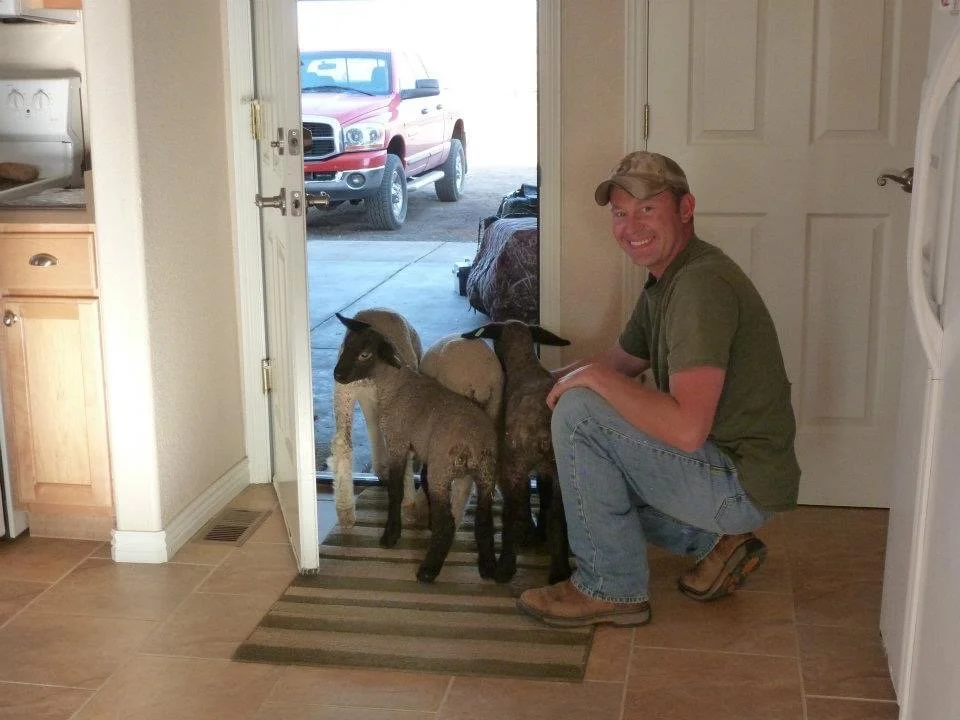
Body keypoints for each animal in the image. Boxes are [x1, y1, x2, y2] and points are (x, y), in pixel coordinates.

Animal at [327, 308, 422, 529]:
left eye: (364, 354)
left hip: (346, 394)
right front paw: (409, 504)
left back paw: (345, 510)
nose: (337, 374)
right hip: (351, 393)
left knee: (345, 441)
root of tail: (377, 311)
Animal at [462, 319, 573, 585]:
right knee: (557, 517)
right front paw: (539, 534)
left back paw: (504, 568)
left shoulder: (512, 469)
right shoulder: (546, 472)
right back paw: (559, 571)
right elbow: (544, 502)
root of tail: (544, 430)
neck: (524, 364)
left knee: (512, 514)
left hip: (514, 466)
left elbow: (519, 509)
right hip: (559, 470)